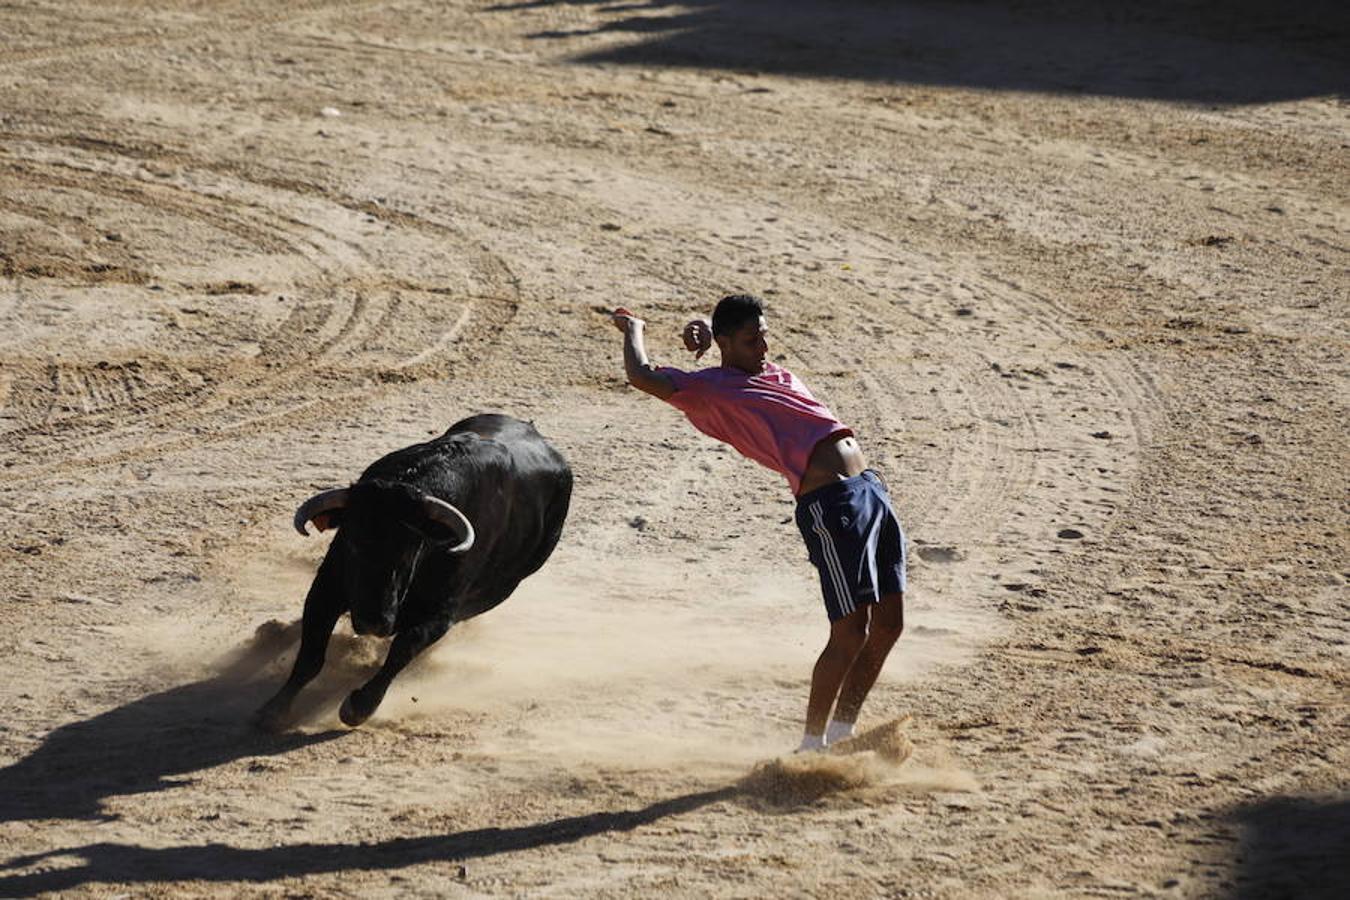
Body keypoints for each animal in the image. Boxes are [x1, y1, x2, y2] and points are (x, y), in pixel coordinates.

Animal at [255, 415, 572, 734]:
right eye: (352, 542)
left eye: (410, 549)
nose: (373, 622)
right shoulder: (326, 589)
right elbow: (311, 655)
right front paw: (274, 710)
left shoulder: (441, 614)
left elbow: (402, 651)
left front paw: (359, 707)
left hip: (498, 591)